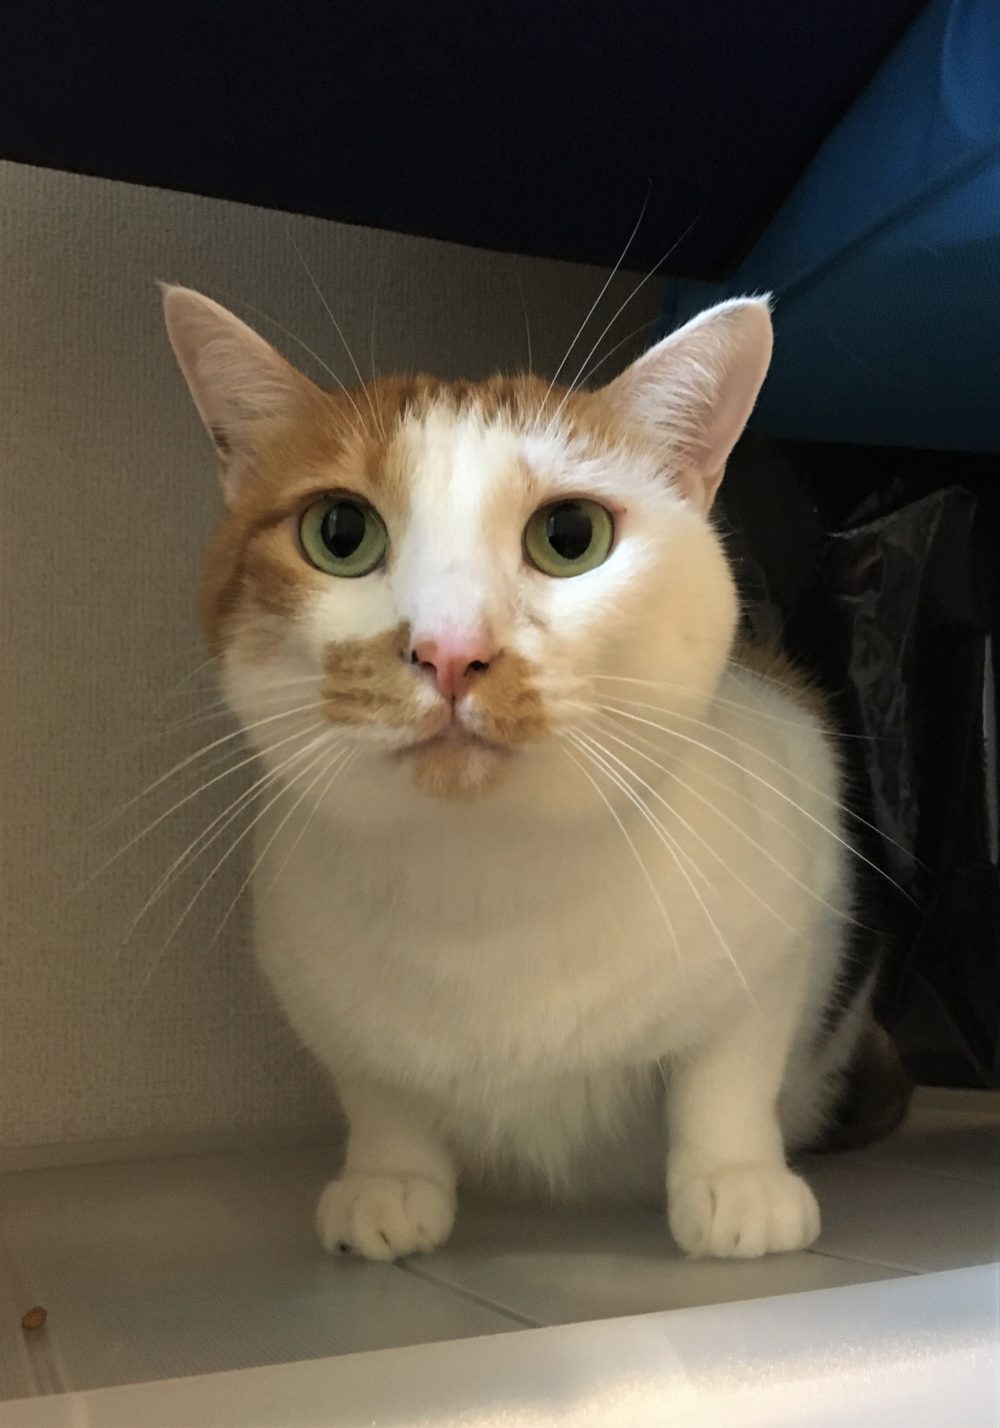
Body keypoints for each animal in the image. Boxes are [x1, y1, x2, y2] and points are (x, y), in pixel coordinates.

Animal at [162, 285, 910, 1262]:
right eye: (339, 532)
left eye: (570, 535)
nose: (450, 651)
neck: (490, 881)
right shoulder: (311, 984)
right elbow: (377, 1086)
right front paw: (388, 1181)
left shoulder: (795, 871)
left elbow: (729, 1065)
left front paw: (736, 1182)